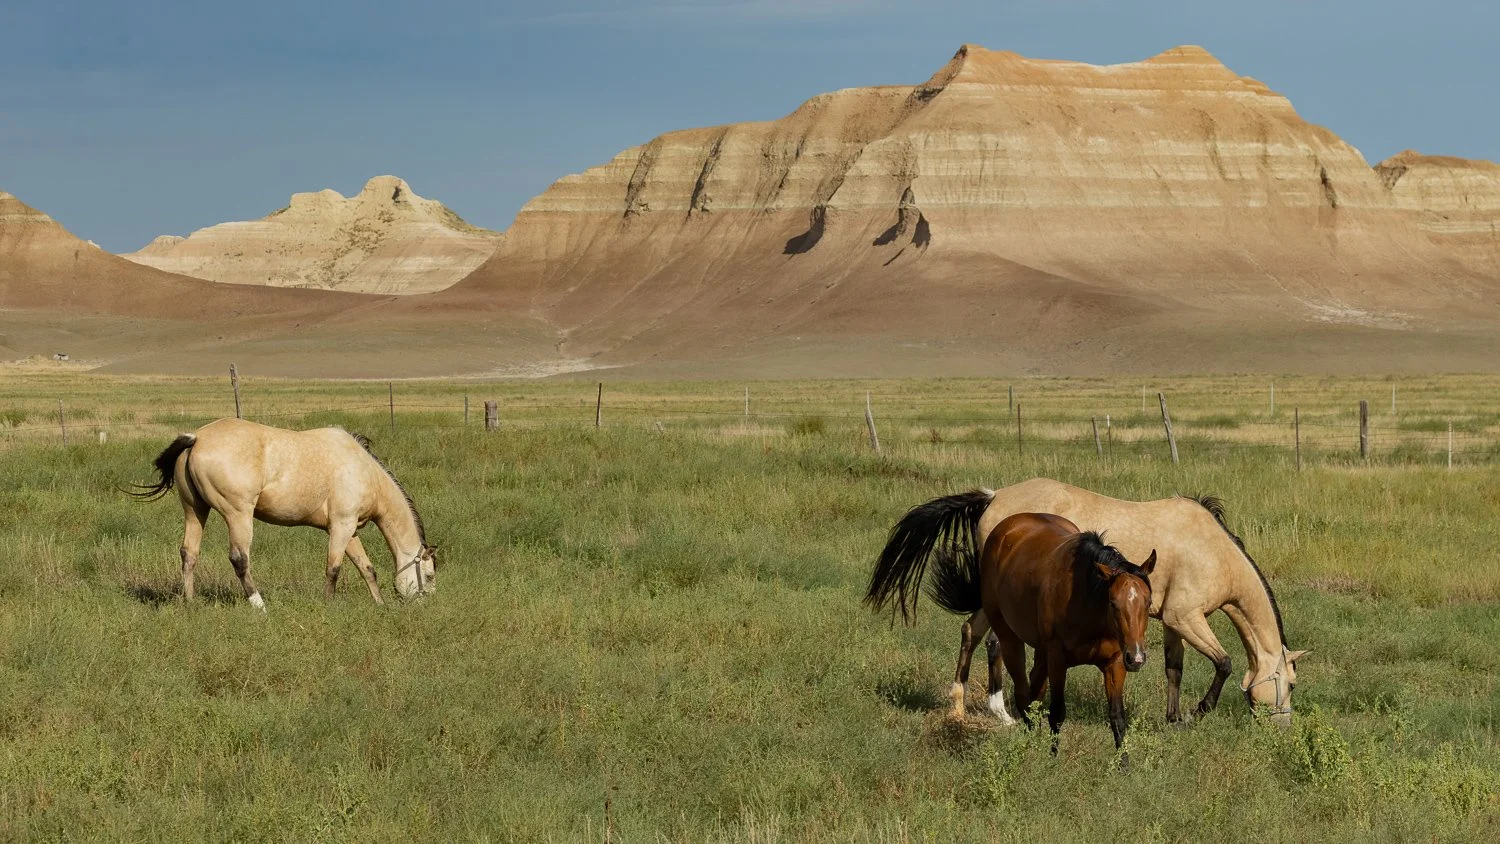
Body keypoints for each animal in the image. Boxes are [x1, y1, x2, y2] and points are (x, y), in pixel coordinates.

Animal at [129, 418, 436, 609]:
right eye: (431, 576)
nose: (425, 606)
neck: (363, 469)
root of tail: (197, 438)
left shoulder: (348, 531)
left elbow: (367, 569)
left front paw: (379, 604)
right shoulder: (341, 527)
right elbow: (333, 569)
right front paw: (329, 605)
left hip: (195, 510)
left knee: (189, 554)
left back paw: (190, 603)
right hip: (238, 514)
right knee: (240, 559)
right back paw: (259, 606)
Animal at [867, 478, 1306, 725]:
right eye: (1290, 684)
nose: (1283, 727)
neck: (1211, 549)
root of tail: (994, 498)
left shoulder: (1170, 622)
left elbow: (1174, 670)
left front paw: (1174, 720)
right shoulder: (1187, 618)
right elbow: (1224, 663)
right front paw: (1199, 711)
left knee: (970, 633)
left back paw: (960, 708)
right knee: (993, 642)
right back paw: (1004, 712)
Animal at [922, 512, 1155, 760]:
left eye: (1148, 602)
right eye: (1113, 603)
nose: (1137, 657)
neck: (1085, 601)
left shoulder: (1115, 663)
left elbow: (1117, 717)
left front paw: (1124, 765)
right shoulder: (1057, 660)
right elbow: (1057, 713)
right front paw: (1052, 759)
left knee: (1033, 691)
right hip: (1010, 638)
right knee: (1022, 692)